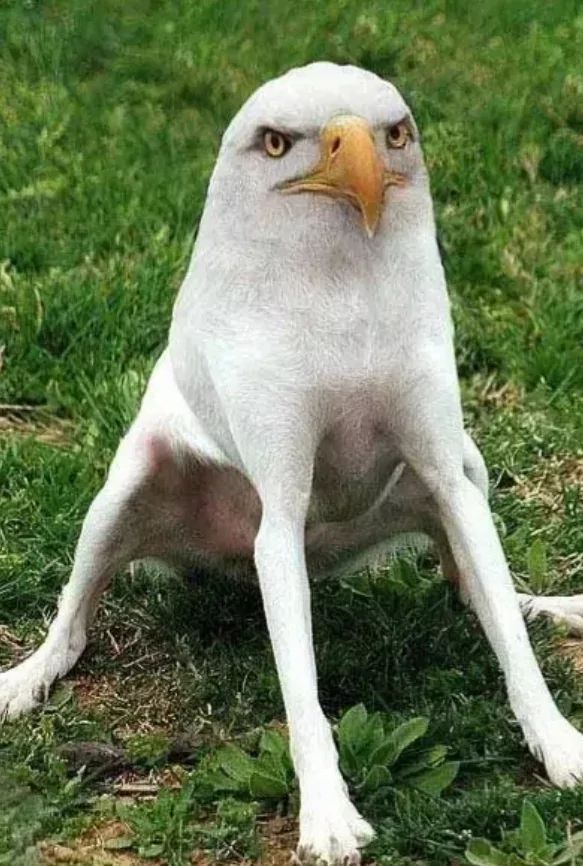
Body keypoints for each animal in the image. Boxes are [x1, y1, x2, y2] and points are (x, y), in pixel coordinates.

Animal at [3, 64, 583, 860]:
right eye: (278, 141)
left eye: (394, 134)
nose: (365, 175)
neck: (342, 301)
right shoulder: (278, 514)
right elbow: (301, 687)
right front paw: (327, 810)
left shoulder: (445, 469)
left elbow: (507, 631)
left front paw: (556, 739)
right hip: (126, 488)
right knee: (74, 622)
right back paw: (27, 677)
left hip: (470, 465)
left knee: (473, 591)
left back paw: (551, 606)